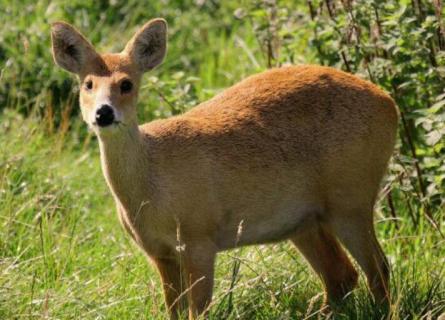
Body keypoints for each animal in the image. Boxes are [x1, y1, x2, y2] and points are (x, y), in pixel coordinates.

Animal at [50, 18, 398, 320]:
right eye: (87, 84)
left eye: (126, 84)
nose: (104, 113)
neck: (152, 188)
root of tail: (390, 103)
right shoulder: (159, 252)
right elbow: (174, 311)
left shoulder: (200, 239)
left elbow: (197, 311)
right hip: (304, 221)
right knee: (341, 275)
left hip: (351, 198)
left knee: (378, 268)